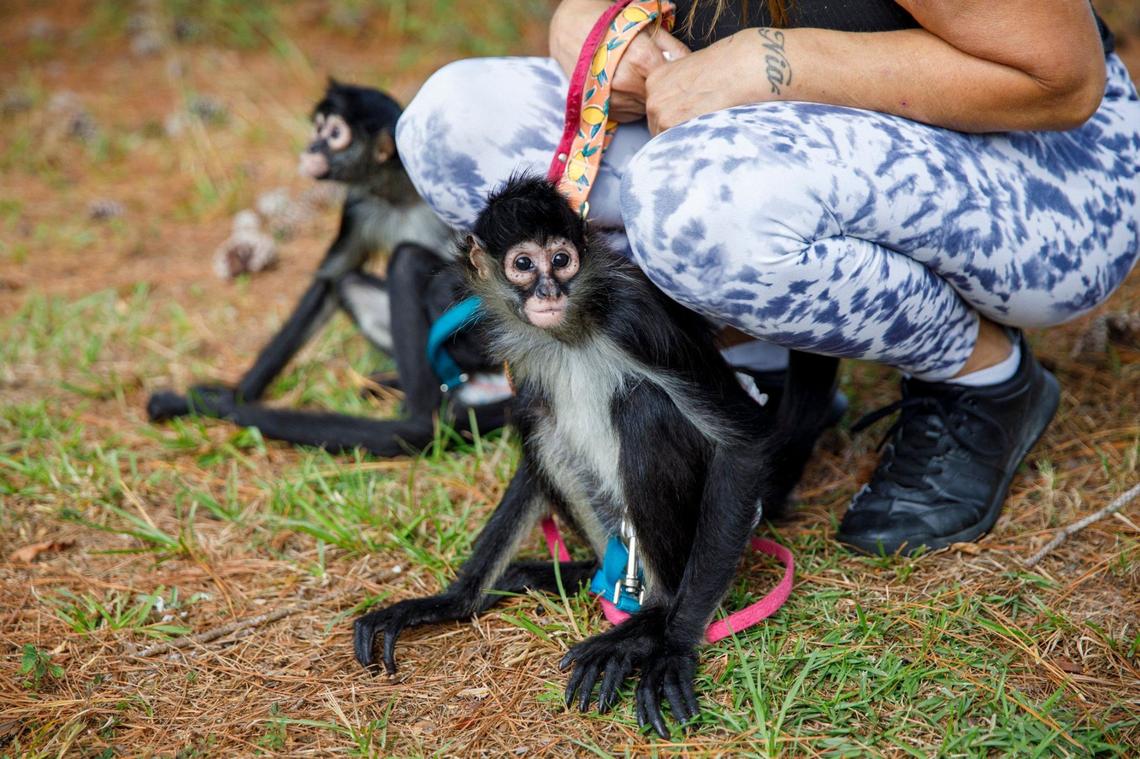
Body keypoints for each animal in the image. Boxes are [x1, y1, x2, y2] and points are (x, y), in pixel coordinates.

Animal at [146, 80, 509, 457]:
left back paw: (421, 417)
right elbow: (326, 285)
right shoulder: (359, 206)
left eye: (335, 134)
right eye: (318, 129)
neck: (398, 195)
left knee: (406, 260)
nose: (311, 147)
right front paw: (237, 394)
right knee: (350, 283)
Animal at [353, 175, 839, 736]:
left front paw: (673, 647)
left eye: (561, 259)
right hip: (612, 531)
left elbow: (742, 443)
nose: (548, 291)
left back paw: (651, 621)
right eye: (524, 264)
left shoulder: (636, 319)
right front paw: (447, 602)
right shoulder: (524, 352)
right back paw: (580, 576)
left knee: (642, 405)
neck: (570, 332)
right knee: (540, 421)